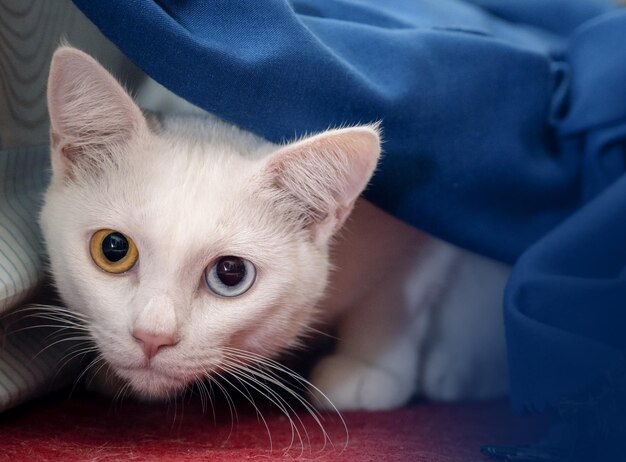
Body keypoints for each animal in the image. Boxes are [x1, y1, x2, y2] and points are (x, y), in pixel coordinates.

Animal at [37, 47, 508, 414]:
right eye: (113, 248)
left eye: (230, 274)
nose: (152, 337)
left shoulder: (429, 218)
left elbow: (399, 299)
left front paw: (371, 366)